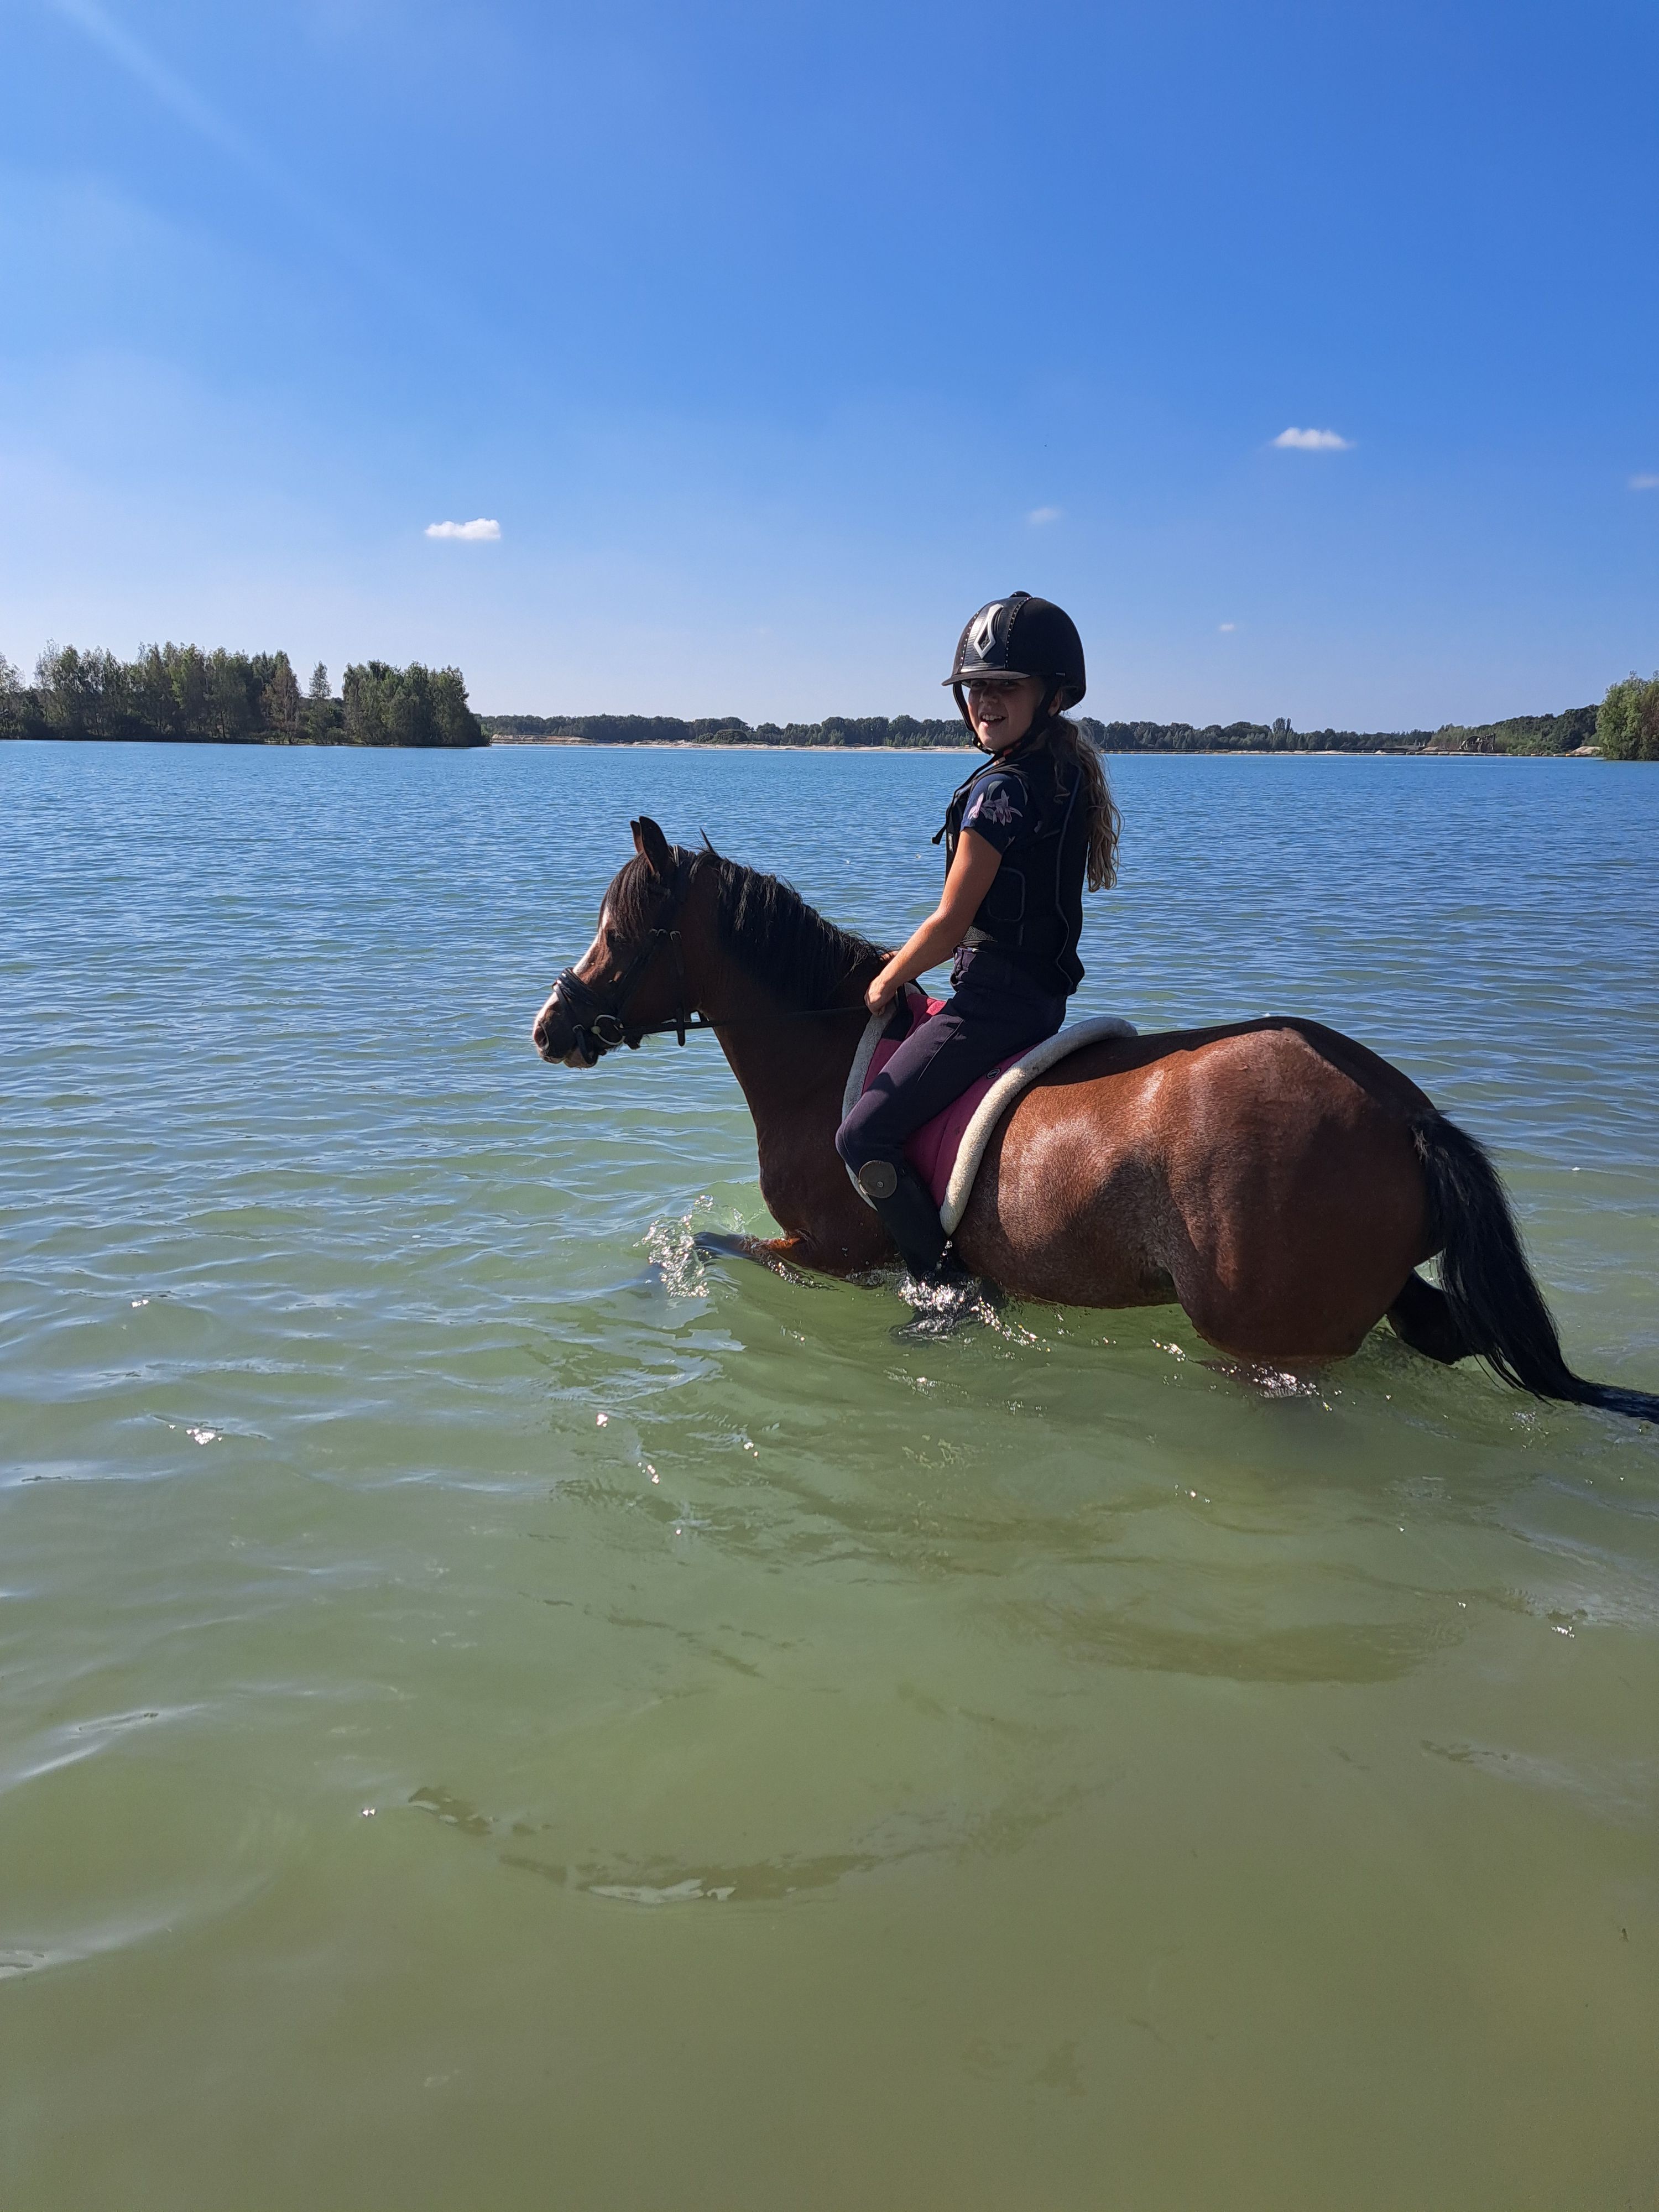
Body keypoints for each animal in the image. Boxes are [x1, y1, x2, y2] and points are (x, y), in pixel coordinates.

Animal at [530, 816, 1658, 1425]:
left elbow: (706, 1246)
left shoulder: (831, 1251)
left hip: (1265, 1340)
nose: (550, 1026)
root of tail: (1405, 1110)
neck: (820, 1057)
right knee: (1446, 1332)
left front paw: (649, 1288)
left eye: (621, 931)